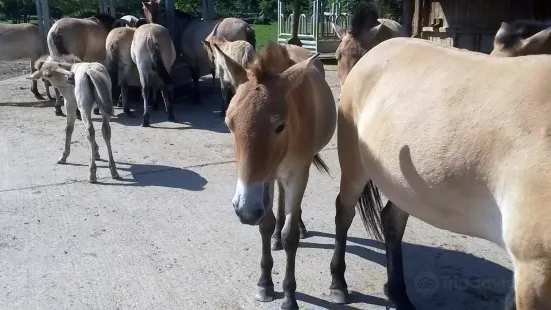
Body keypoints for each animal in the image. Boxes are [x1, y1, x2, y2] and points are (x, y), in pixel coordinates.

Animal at [27, 55, 119, 184]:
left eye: (59, 65)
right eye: (48, 74)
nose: (71, 76)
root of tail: (90, 70)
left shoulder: (70, 103)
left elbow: (69, 128)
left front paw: (64, 156)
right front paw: (96, 152)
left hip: (84, 106)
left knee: (90, 131)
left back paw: (92, 173)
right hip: (104, 107)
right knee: (105, 130)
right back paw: (113, 170)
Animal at [220, 41, 336, 310]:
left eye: (280, 126)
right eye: (229, 123)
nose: (245, 210)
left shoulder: (297, 174)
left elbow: (290, 236)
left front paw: (289, 295)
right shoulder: (265, 178)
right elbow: (265, 224)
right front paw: (265, 284)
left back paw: (298, 227)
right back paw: (275, 237)